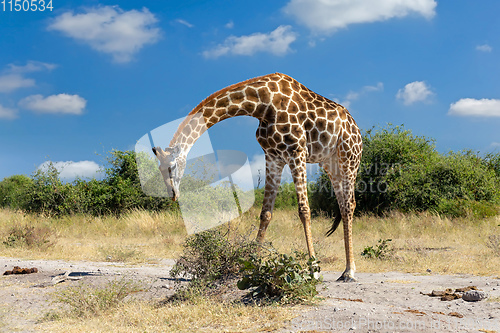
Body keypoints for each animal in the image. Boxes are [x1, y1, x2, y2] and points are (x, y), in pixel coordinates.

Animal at [153, 72, 364, 280]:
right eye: (159, 169)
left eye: (171, 166)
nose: (173, 194)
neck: (262, 104)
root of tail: (357, 129)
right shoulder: (273, 156)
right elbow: (265, 214)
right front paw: (251, 265)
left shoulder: (297, 151)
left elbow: (304, 210)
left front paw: (314, 270)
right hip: (331, 164)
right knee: (343, 204)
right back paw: (346, 270)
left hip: (349, 159)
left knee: (349, 205)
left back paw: (349, 271)